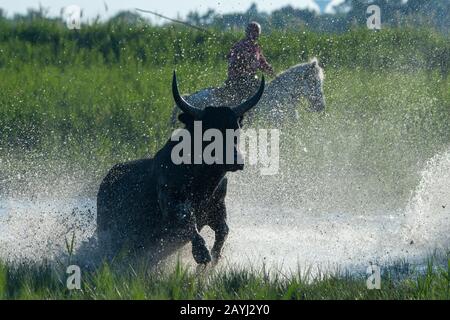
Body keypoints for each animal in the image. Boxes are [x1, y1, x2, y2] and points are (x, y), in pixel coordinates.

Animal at [95, 73, 264, 264]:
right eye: (207, 131)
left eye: (236, 129)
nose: (236, 160)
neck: (202, 181)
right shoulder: (170, 202)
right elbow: (186, 219)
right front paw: (201, 253)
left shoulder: (217, 208)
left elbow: (223, 230)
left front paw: (214, 257)